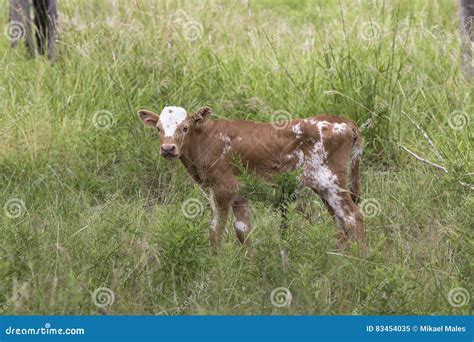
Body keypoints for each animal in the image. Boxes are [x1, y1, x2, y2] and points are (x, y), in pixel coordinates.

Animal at [139, 107, 364, 248]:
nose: (168, 149)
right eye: (158, 129)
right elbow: (243, 231)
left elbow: (216, 232)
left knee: (353, 218)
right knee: (340, 224)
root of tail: (344, 121)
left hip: (332, 182)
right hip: (325, 188)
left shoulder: (222, 189)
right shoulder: (239, 194)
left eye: (184, 128)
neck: (206, 140)